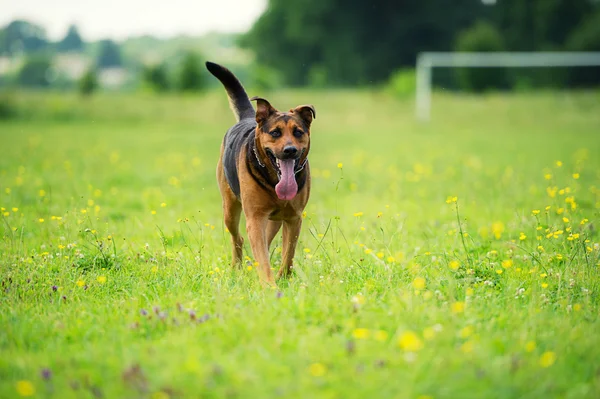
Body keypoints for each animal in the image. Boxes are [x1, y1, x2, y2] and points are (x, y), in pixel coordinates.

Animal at [206, 61, 316, 288]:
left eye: (298, 132)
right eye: (275, 133)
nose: (290, 150)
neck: (274, 178)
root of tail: (250, 118)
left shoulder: (293, 218)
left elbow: (289, 253)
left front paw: (283, 278)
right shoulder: (255, 218)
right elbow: (263, 257)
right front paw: (270, 286)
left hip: (274, 219)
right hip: (230, 209)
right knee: (238, 238)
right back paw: (237, 268)